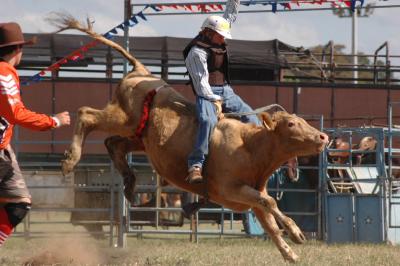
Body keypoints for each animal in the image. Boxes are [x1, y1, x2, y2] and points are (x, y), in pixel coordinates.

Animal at [52, 15, 328, 262]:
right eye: (291, 124)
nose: (323, 136)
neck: (251, 148)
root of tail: (140, 70)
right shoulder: (231, 189)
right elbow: (270, 202)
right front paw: (296, 232)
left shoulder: (252, 194)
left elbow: (269, 220)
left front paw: (291, 249)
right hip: (122, 118)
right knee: (86, 115)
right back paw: (70, 160)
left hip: (139, 137)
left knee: (113, 143)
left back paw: (129, 183)